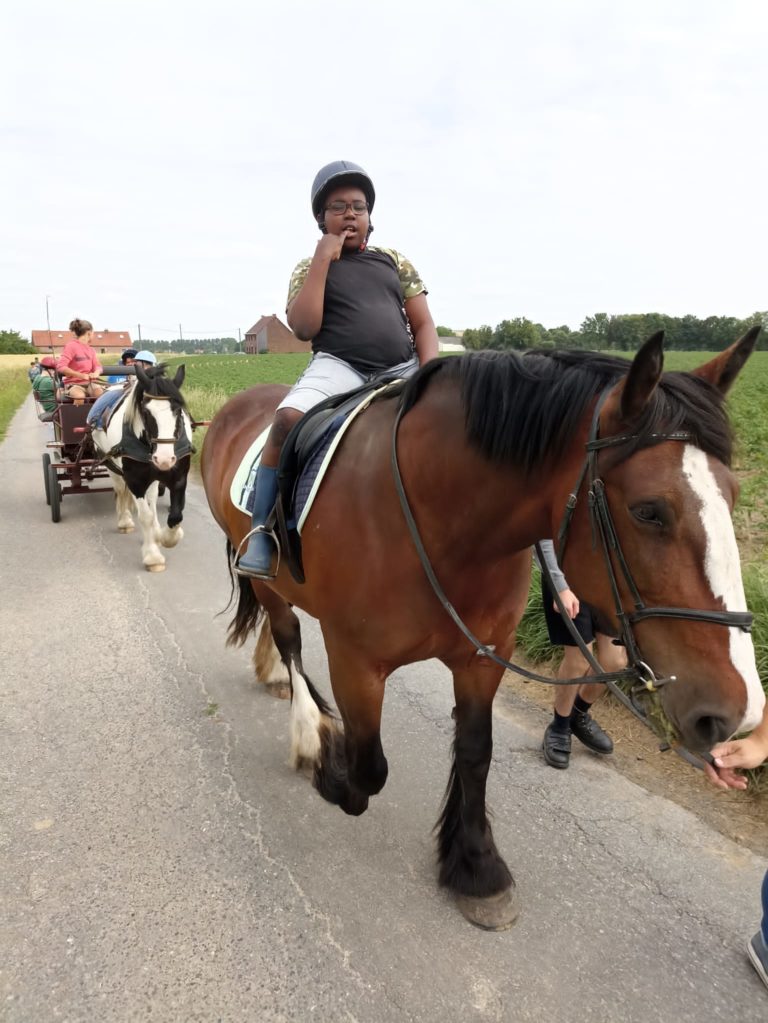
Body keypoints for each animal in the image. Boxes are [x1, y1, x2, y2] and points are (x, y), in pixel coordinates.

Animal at [92, 363, 193, 572]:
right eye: (146, 412)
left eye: (178, 411)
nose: (164, 459)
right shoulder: (135, 480)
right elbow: (144, 515)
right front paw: (153, 556)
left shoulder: (179, 477)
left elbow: (176, 515)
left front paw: (166, 537)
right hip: (110, 464)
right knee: (120, 490)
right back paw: (125, 521)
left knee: (152, 499)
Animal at [200, 329, 765, 930]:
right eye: (649, 511)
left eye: (733, 496)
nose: (739, 713)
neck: (438, 519)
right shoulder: (355, 660)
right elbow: (368, 767)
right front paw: (331, 771)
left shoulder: (482, 658)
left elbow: (475, 753)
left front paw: (476, 867)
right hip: (263, 575)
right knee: (288, 637)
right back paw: (308, 730)